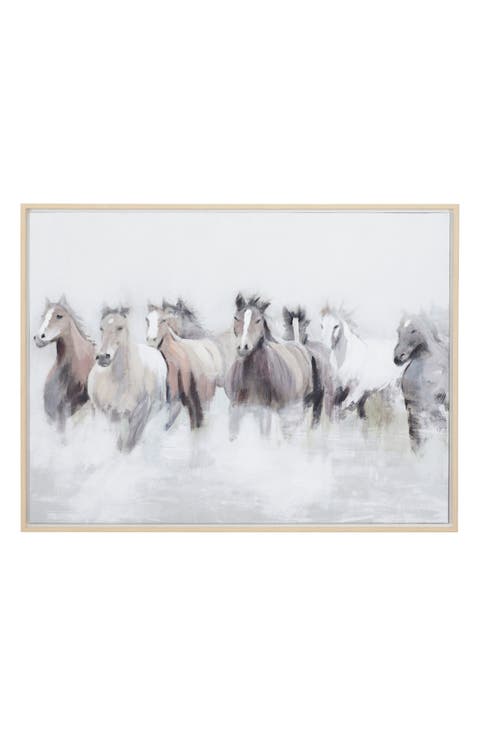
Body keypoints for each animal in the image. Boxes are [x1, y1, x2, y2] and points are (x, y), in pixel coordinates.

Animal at [88, 307, 167, 452]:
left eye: (120, 327)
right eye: (101, 328)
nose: (103, 357)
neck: (117, 380)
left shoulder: (130, 415)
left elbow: (126, 443)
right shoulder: (106, 414)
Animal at [224, 294, 313, 439]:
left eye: (258, 320)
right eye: (236, 318)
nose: (243, 347)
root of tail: (298, 344)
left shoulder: (267, 412)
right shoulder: (236, 409)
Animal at [394, 313, 449, 452]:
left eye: (414, 330)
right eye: (398, 331)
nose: (398, 357)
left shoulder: (433, 406)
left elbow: (440, 430)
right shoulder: (413, 409)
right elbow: (417, 440)